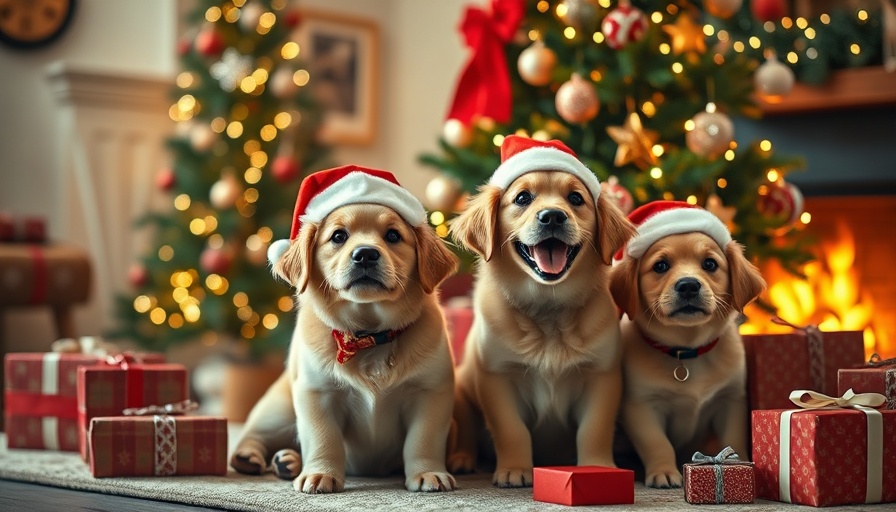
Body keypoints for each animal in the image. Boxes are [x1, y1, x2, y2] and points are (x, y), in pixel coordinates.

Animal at [228, 167, 458, 492]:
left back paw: (288, 462)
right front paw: (320, 474)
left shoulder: (430, 393)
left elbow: (423, 440)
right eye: (338, 236)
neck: (369, 335)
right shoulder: (317, 393)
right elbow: (324, 438)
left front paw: (428, 472)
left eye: (393, 235)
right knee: (252, 436)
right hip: (277, 409)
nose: (365, 254)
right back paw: (254, 458)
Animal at [448, 136, 636, 488]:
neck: (548, 309)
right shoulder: (498, 378)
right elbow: (512, 430)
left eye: (576, 198)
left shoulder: (601, 377)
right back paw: (462, 459)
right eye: (523, 198)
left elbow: (594, 429)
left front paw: (596, 467)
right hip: (464, 384)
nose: (552, 216)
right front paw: (514, 470)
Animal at [612, 200, 768, 488]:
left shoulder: (730, 400)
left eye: (710, 264)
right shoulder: (641, 406)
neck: (686, 351)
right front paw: (664, 471)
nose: (688, 285)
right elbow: (657, 443)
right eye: (661, 266)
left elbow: (733, 438)